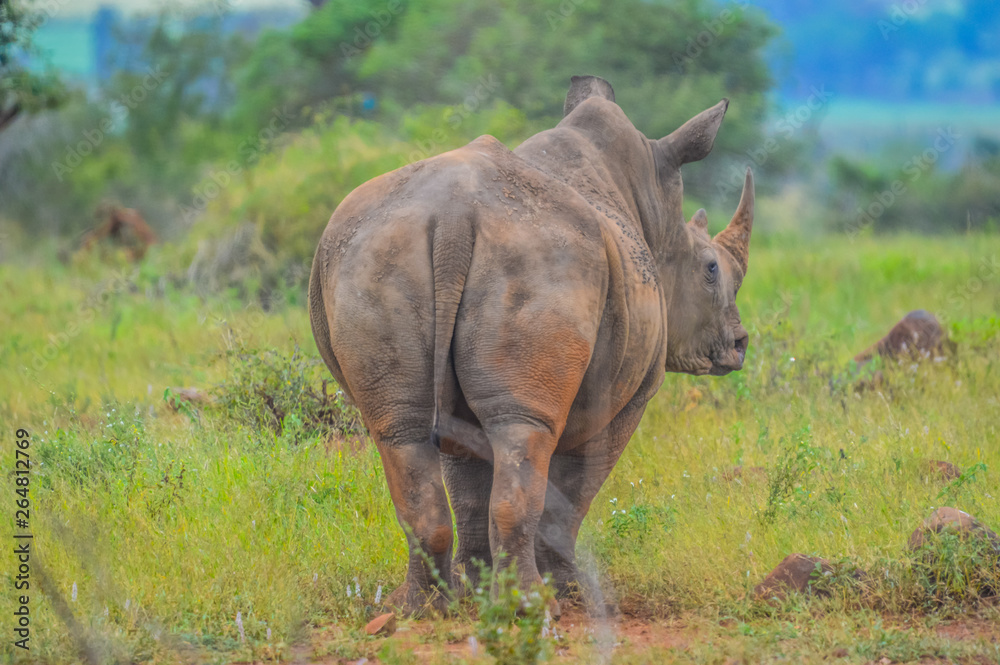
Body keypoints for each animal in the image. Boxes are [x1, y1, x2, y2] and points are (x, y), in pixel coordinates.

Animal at [309, 75, 755, 615]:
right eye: (711, 270)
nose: (740, 344)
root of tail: (453, 216)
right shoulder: (627, 395)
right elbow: (575, 490)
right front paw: (566, 589)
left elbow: (469, 484)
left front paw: (479, 588)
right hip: (541, 263)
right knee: (523, 429)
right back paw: (530, 605)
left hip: (373, 255)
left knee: (404, 430)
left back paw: (421, 608)